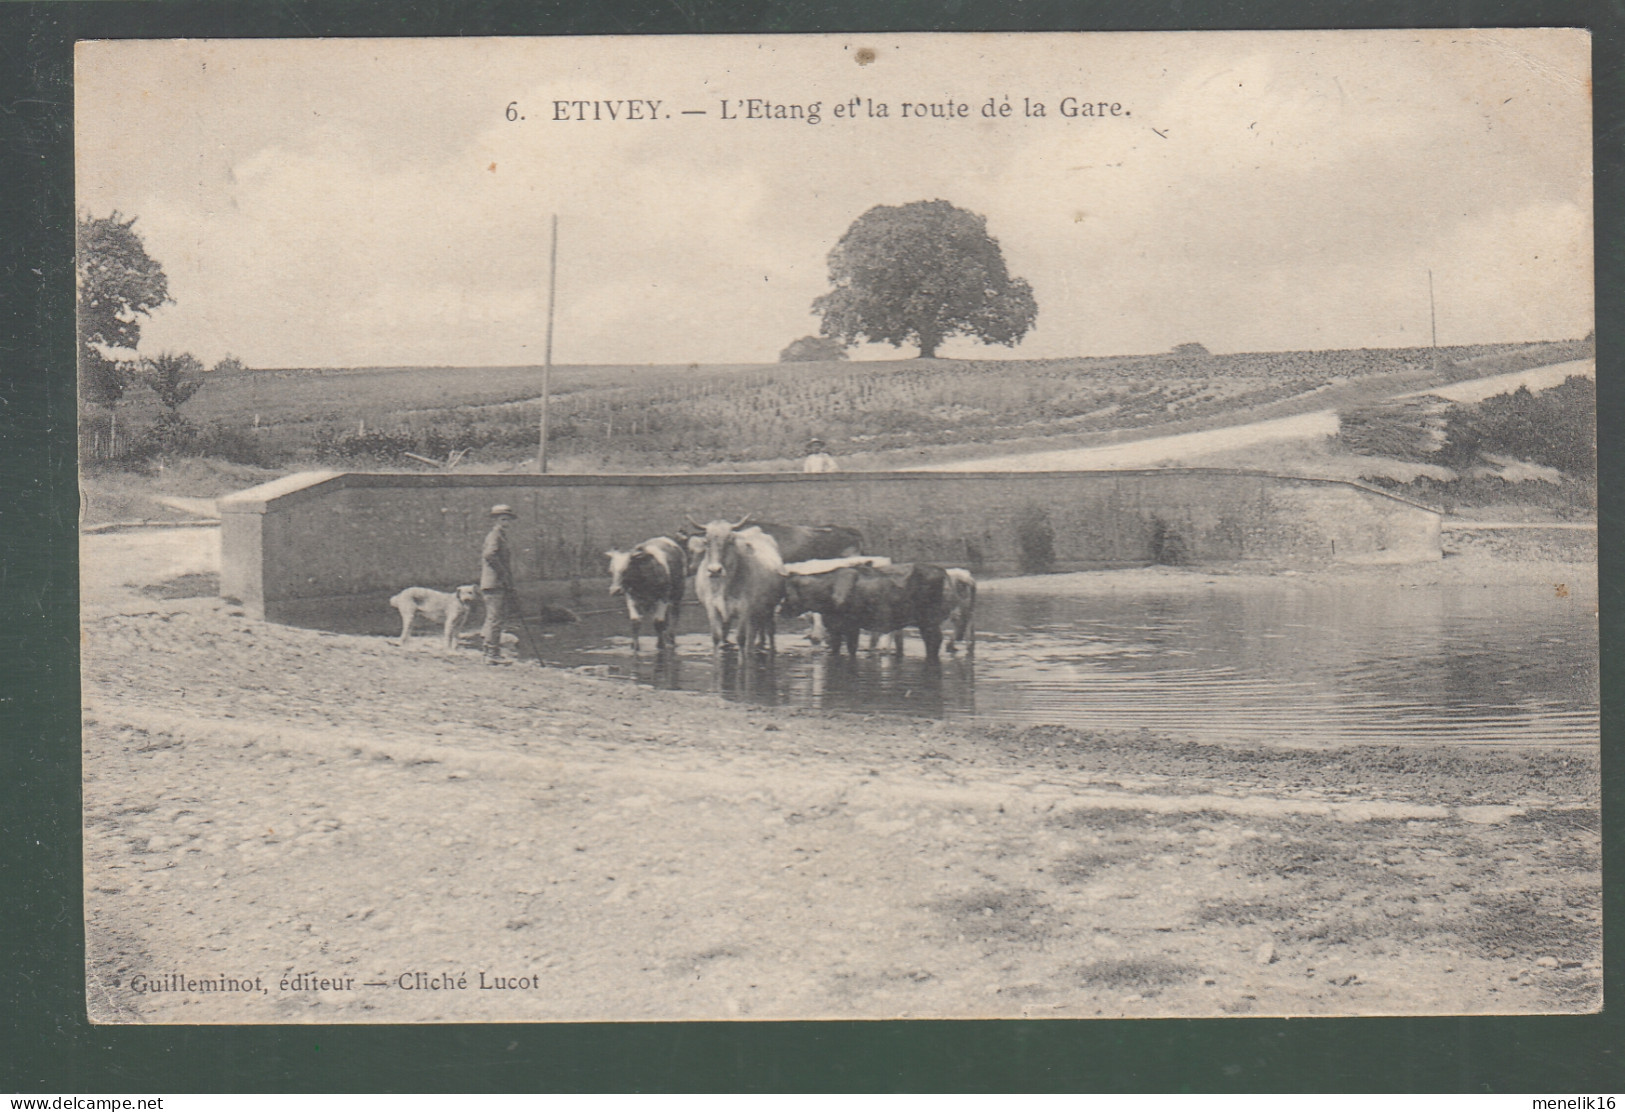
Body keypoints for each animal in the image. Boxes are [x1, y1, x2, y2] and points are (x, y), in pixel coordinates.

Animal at [689, 520, 783, 656]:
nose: (715, 570)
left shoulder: (744, 608)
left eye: (730, 541)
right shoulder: (712, 607)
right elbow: (716, 637)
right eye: (707, 541)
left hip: (768, 608)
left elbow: (741, 638)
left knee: (768, 630)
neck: (724, 586)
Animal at [776, 565, 949, 660]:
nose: (780, 610)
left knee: (934, 640)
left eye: (786, 591)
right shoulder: (835, 627)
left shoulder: (852, 626)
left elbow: (852, 648)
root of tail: (940, 570)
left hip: (929, 620)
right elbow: (836, 649)